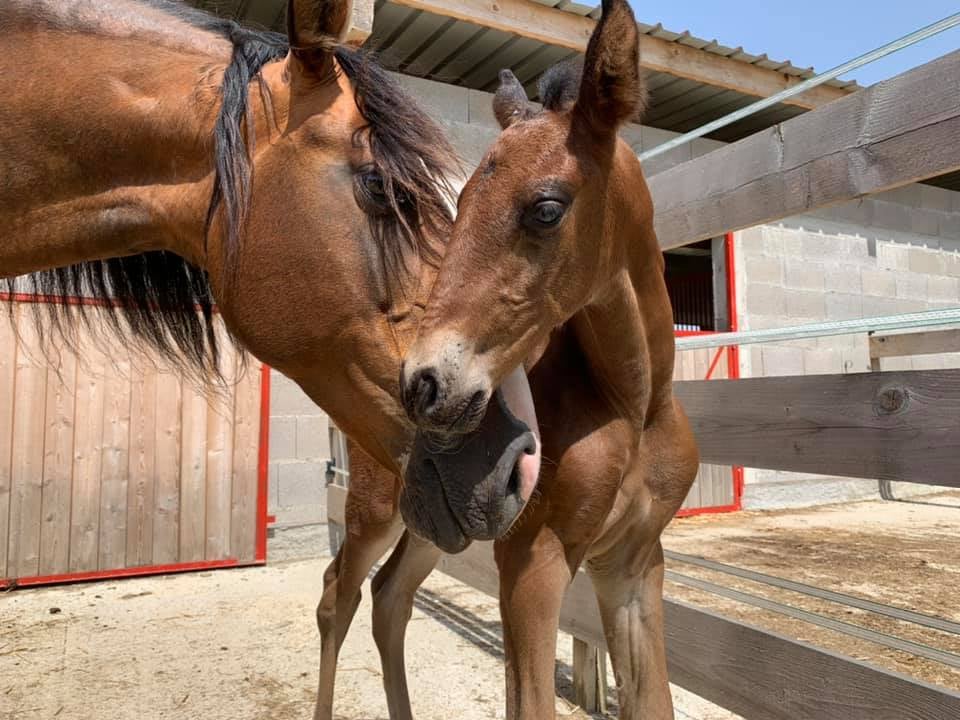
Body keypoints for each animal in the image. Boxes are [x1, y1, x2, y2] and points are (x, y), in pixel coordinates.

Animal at [399, 0, 700, 716]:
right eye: (460, 207)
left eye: (545, 208)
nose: (424, 385)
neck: (632, 403)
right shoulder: (532, 562)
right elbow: (529, 700)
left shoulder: (634, 565)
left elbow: (653, 699)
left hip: (424, 532)